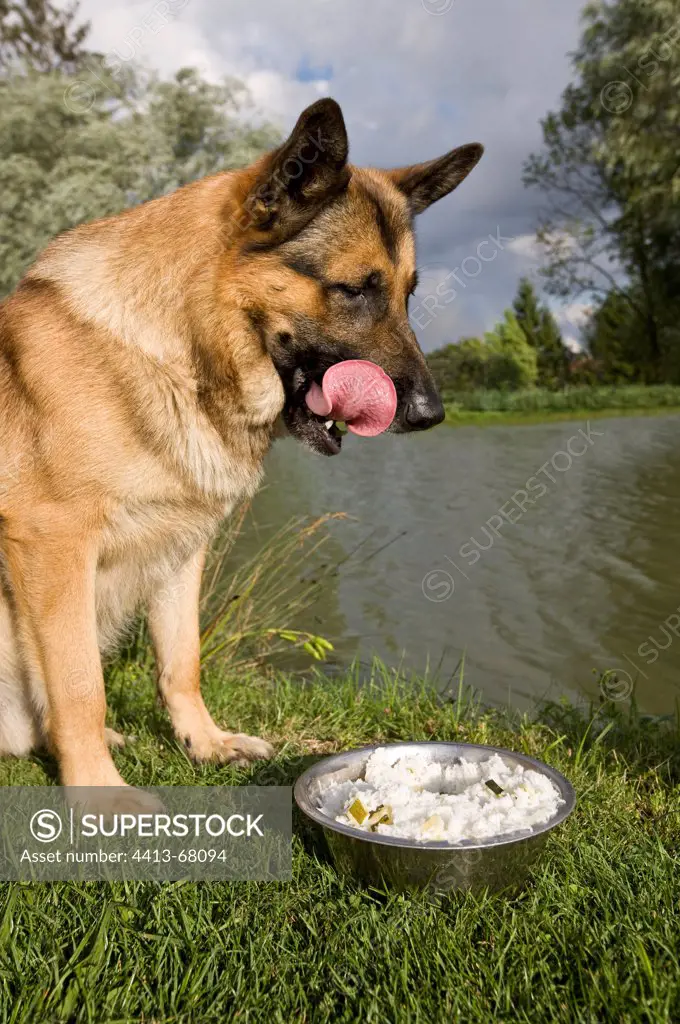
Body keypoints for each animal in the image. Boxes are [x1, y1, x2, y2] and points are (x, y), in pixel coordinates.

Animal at [0, 99, 481, 811]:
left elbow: (182, 661)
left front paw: (205, 742)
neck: (180, 352)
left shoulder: (180, 546)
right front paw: (100, 794)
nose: (430, 415)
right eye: (354, 289)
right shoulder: (54, 543)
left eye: (408, 293)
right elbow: (81, 684)